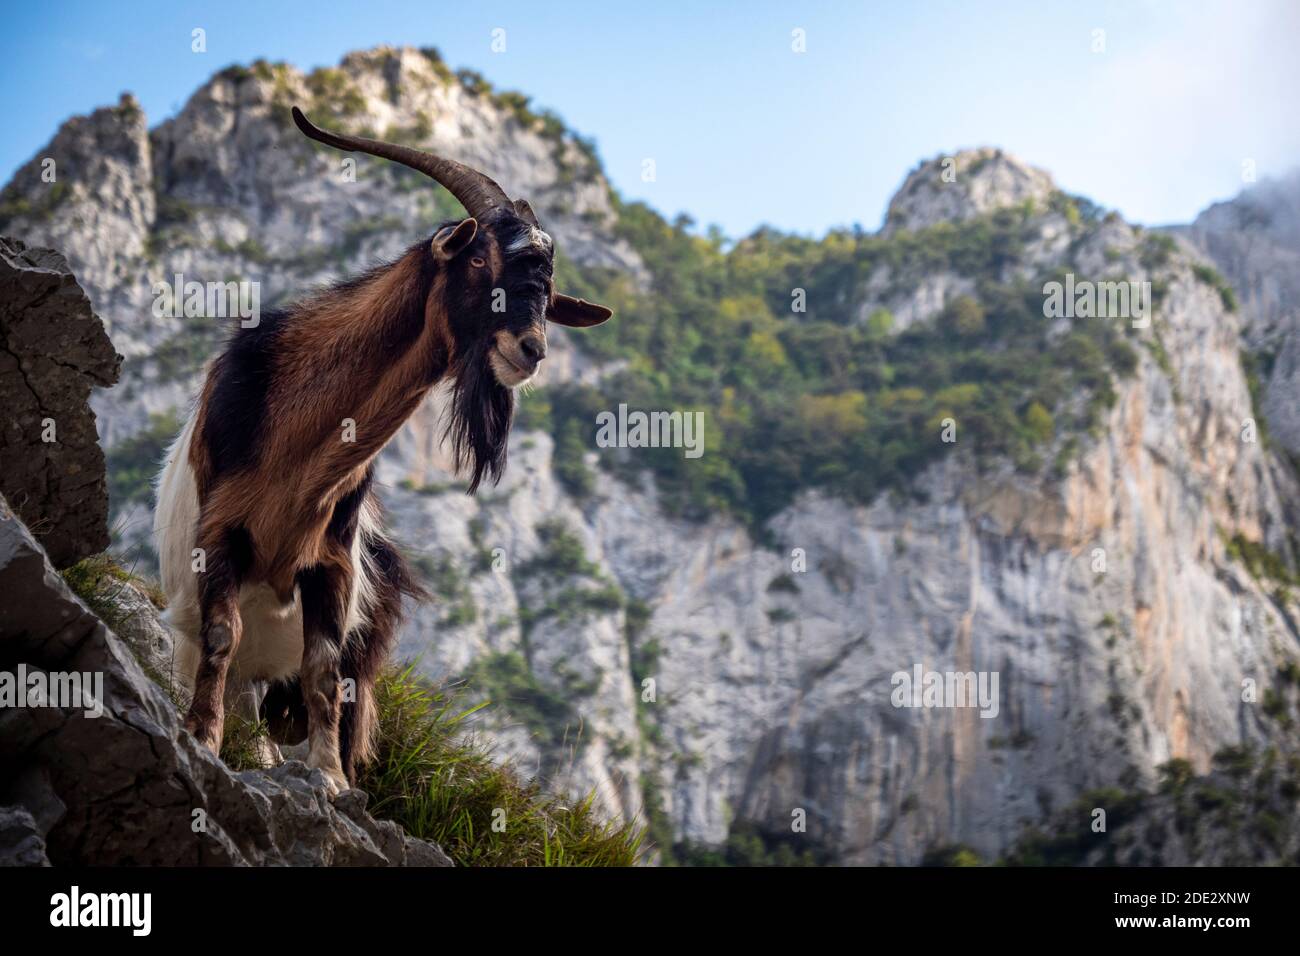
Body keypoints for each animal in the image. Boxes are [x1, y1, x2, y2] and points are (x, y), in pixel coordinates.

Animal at [153, 107, 612, 793]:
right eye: (480, 258)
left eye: (548, 289)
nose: (531, 350)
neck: (295, 438)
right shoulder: (221, 533)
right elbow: (219, 635)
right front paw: (202, 740)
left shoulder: (334, 560)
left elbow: (322, 667)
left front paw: (329, 777)